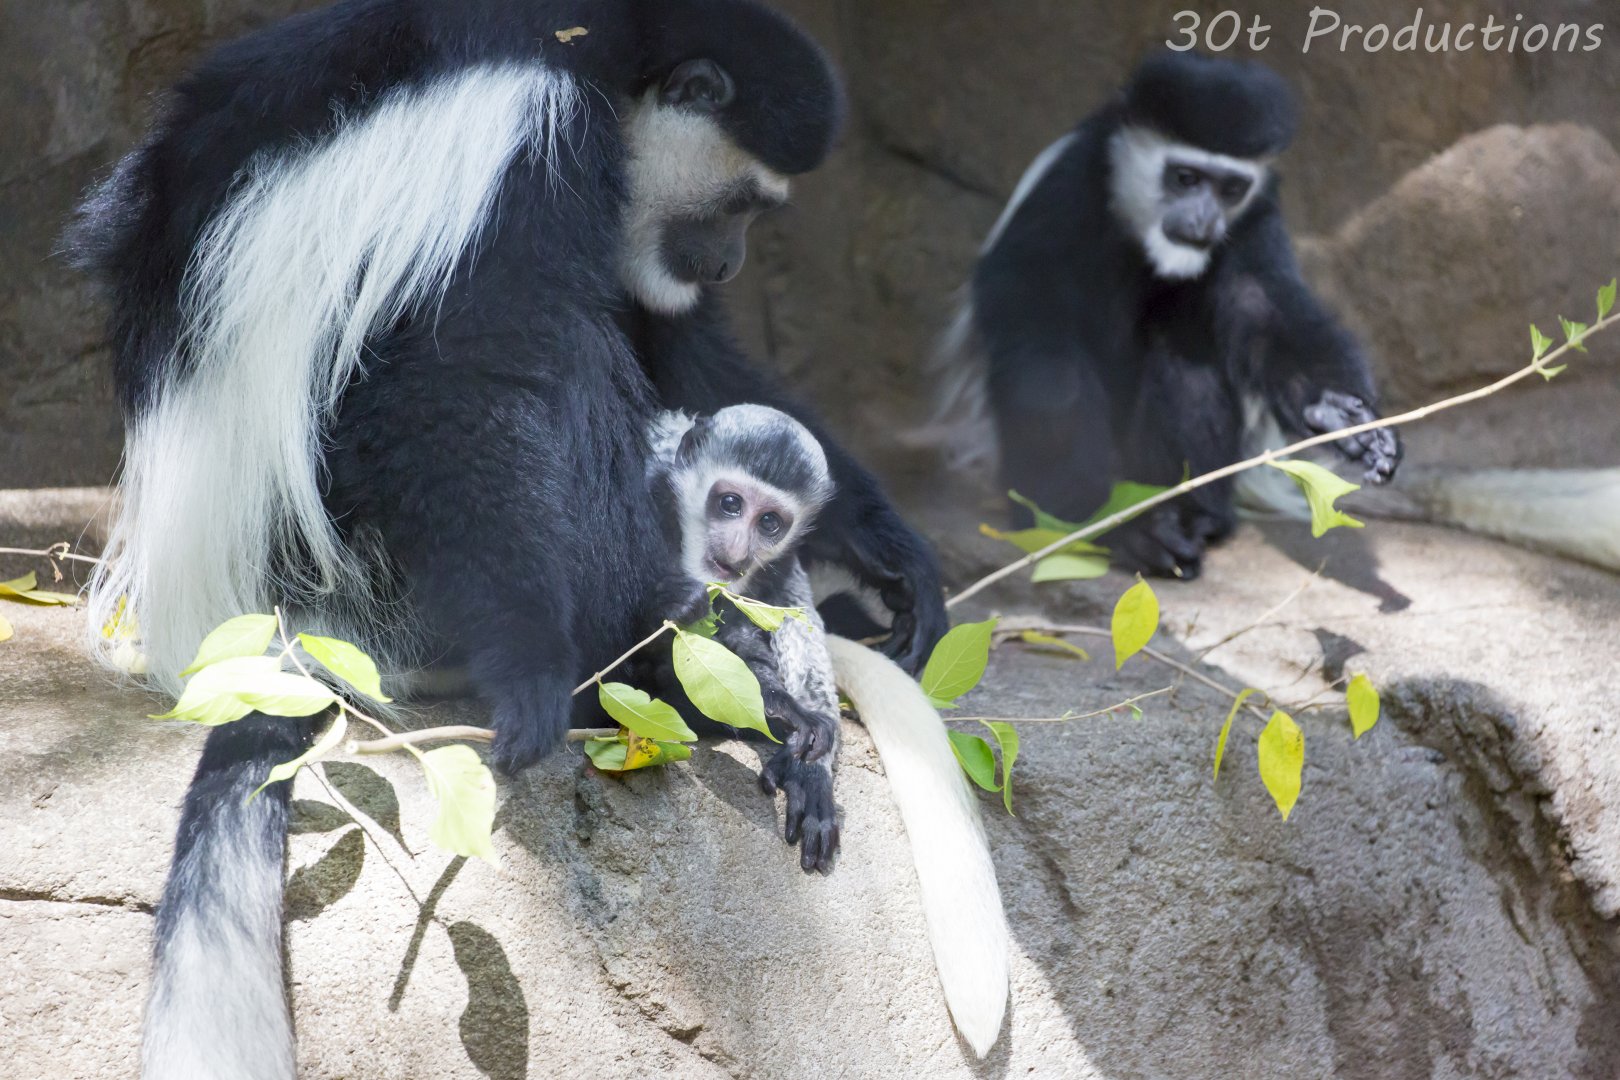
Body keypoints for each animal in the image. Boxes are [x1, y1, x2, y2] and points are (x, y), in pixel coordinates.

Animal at [68, 3, 946, 1075]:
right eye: (743, 200)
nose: (728, 261)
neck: (606, 52)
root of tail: (260, 619)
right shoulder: (531, 144)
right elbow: (464, 376)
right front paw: (539, 668)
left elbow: (684, 347)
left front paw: (884, 549)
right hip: (376, 566)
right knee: (541, 374)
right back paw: (685, 690)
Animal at [931, 50, 1401, 580]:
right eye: (1185, 178)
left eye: (1231, 188)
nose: (1202, 223)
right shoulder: (1066, 189)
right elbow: (1038, 333)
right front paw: (1098, 521)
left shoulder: (1256, 215)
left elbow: (1265, 307)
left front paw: (1344, 418)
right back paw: (1108, 529)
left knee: (1185, 358)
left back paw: (1189, 517)